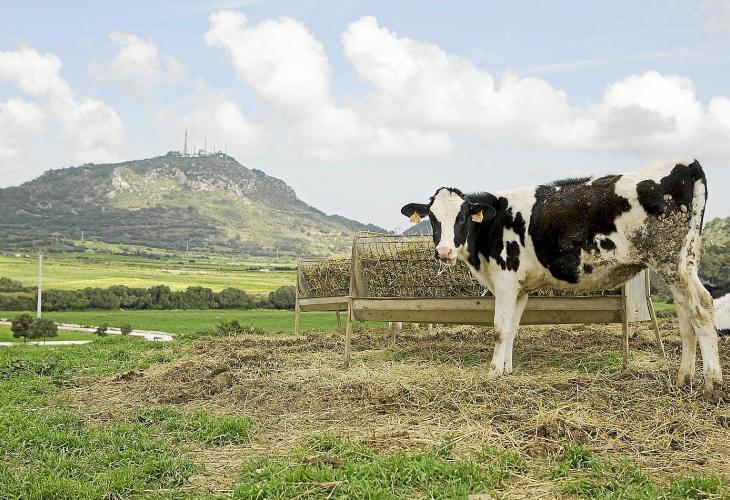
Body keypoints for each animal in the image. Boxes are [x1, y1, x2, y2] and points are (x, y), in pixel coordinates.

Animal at [401, 160, 723, 395]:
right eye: (432, 218)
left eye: (462, 217)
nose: (443, 251)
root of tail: (686, 165)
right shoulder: (521, 288)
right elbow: (514, 329)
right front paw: (507, 370)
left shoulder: (505, 280)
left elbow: (500, 329)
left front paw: (493, 373)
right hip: (681, 263)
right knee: (686, 320)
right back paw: (683, 378)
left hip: (671, 264)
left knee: (701, 308)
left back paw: (712, 384)